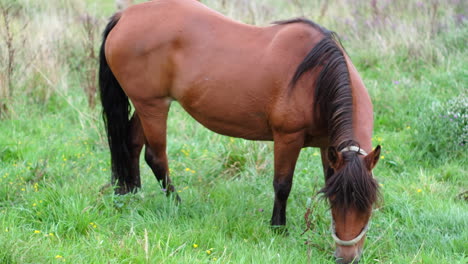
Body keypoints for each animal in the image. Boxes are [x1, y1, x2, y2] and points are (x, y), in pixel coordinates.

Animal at [98, 1, 380, 262]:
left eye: (369, 204)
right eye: (337, 202)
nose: (347, 257)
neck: (315, 77)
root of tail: (125, 15)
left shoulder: (326, 145)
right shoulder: (287, 138)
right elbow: (282, 185)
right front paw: (278, 228)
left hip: (147, 106)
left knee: (131, 144)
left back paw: (130, 194)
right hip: (153, 106)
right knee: (155, 157)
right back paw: (176, 204)